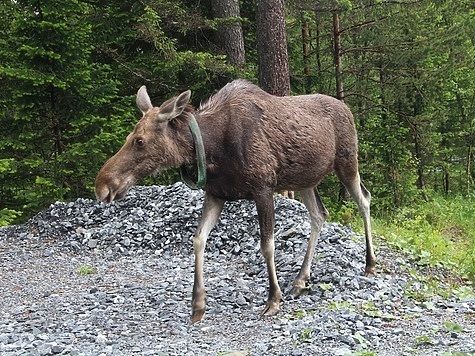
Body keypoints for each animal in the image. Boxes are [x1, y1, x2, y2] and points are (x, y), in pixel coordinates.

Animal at [96, 80, 378, 322]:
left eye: (139, 141)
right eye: (129, 138)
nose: (102, 185)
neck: (211, 150)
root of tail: (347, 108)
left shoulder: (263, 188)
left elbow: (267, 245)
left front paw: (273, 299)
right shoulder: (216, 194)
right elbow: (198, 239)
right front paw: (198, 303)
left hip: (346, 161)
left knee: (364, 199)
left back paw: (370, 264)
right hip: (305, 180)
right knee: (319, 214)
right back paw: (300, 280)